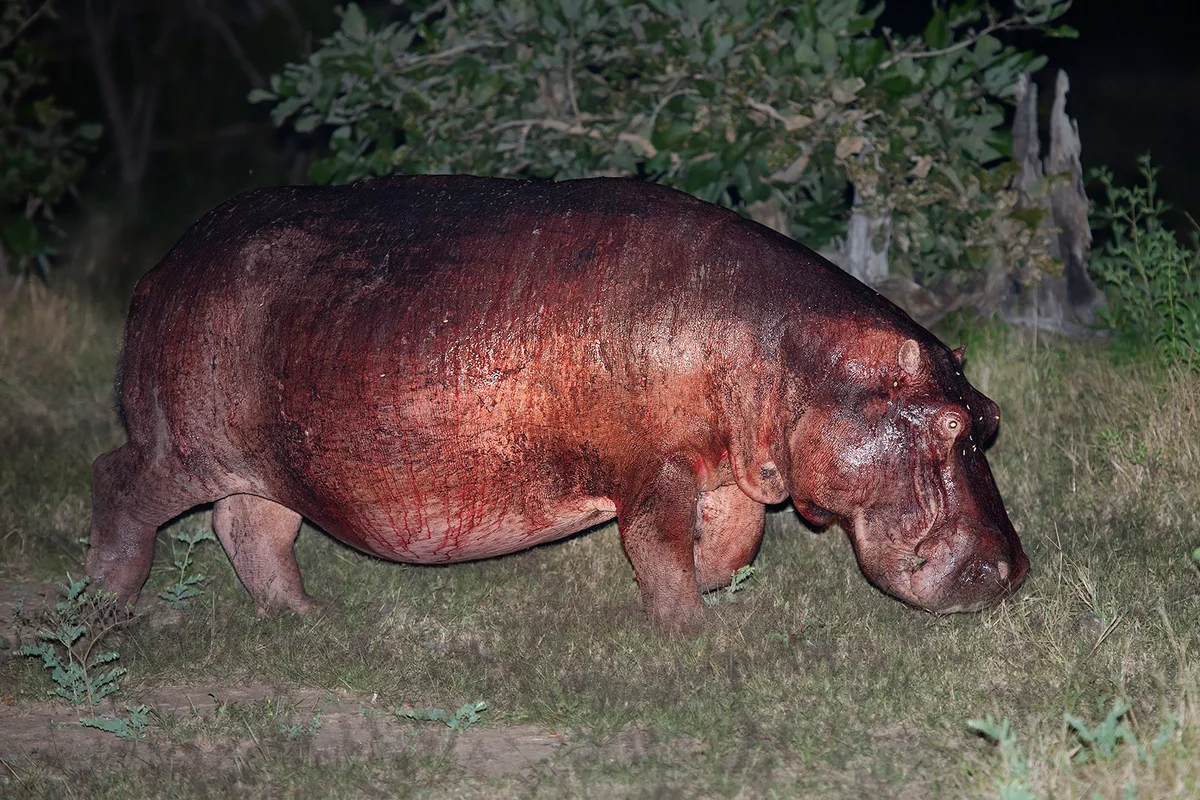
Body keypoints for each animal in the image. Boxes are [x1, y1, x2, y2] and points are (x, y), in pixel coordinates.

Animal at [86, 175, 1029, 630]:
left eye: (988, 419)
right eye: (949, 426)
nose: (1012, 572)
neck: (793, 352)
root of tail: (163, 268)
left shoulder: (727, 469)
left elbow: (733, 544)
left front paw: (711, 592)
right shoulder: (655, 471)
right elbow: (657, 548)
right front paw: (692, 633)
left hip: (276, 464)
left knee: (252, 530)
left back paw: (310, 618)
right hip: (178, 446)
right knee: (119, 487)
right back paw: (109, 607)